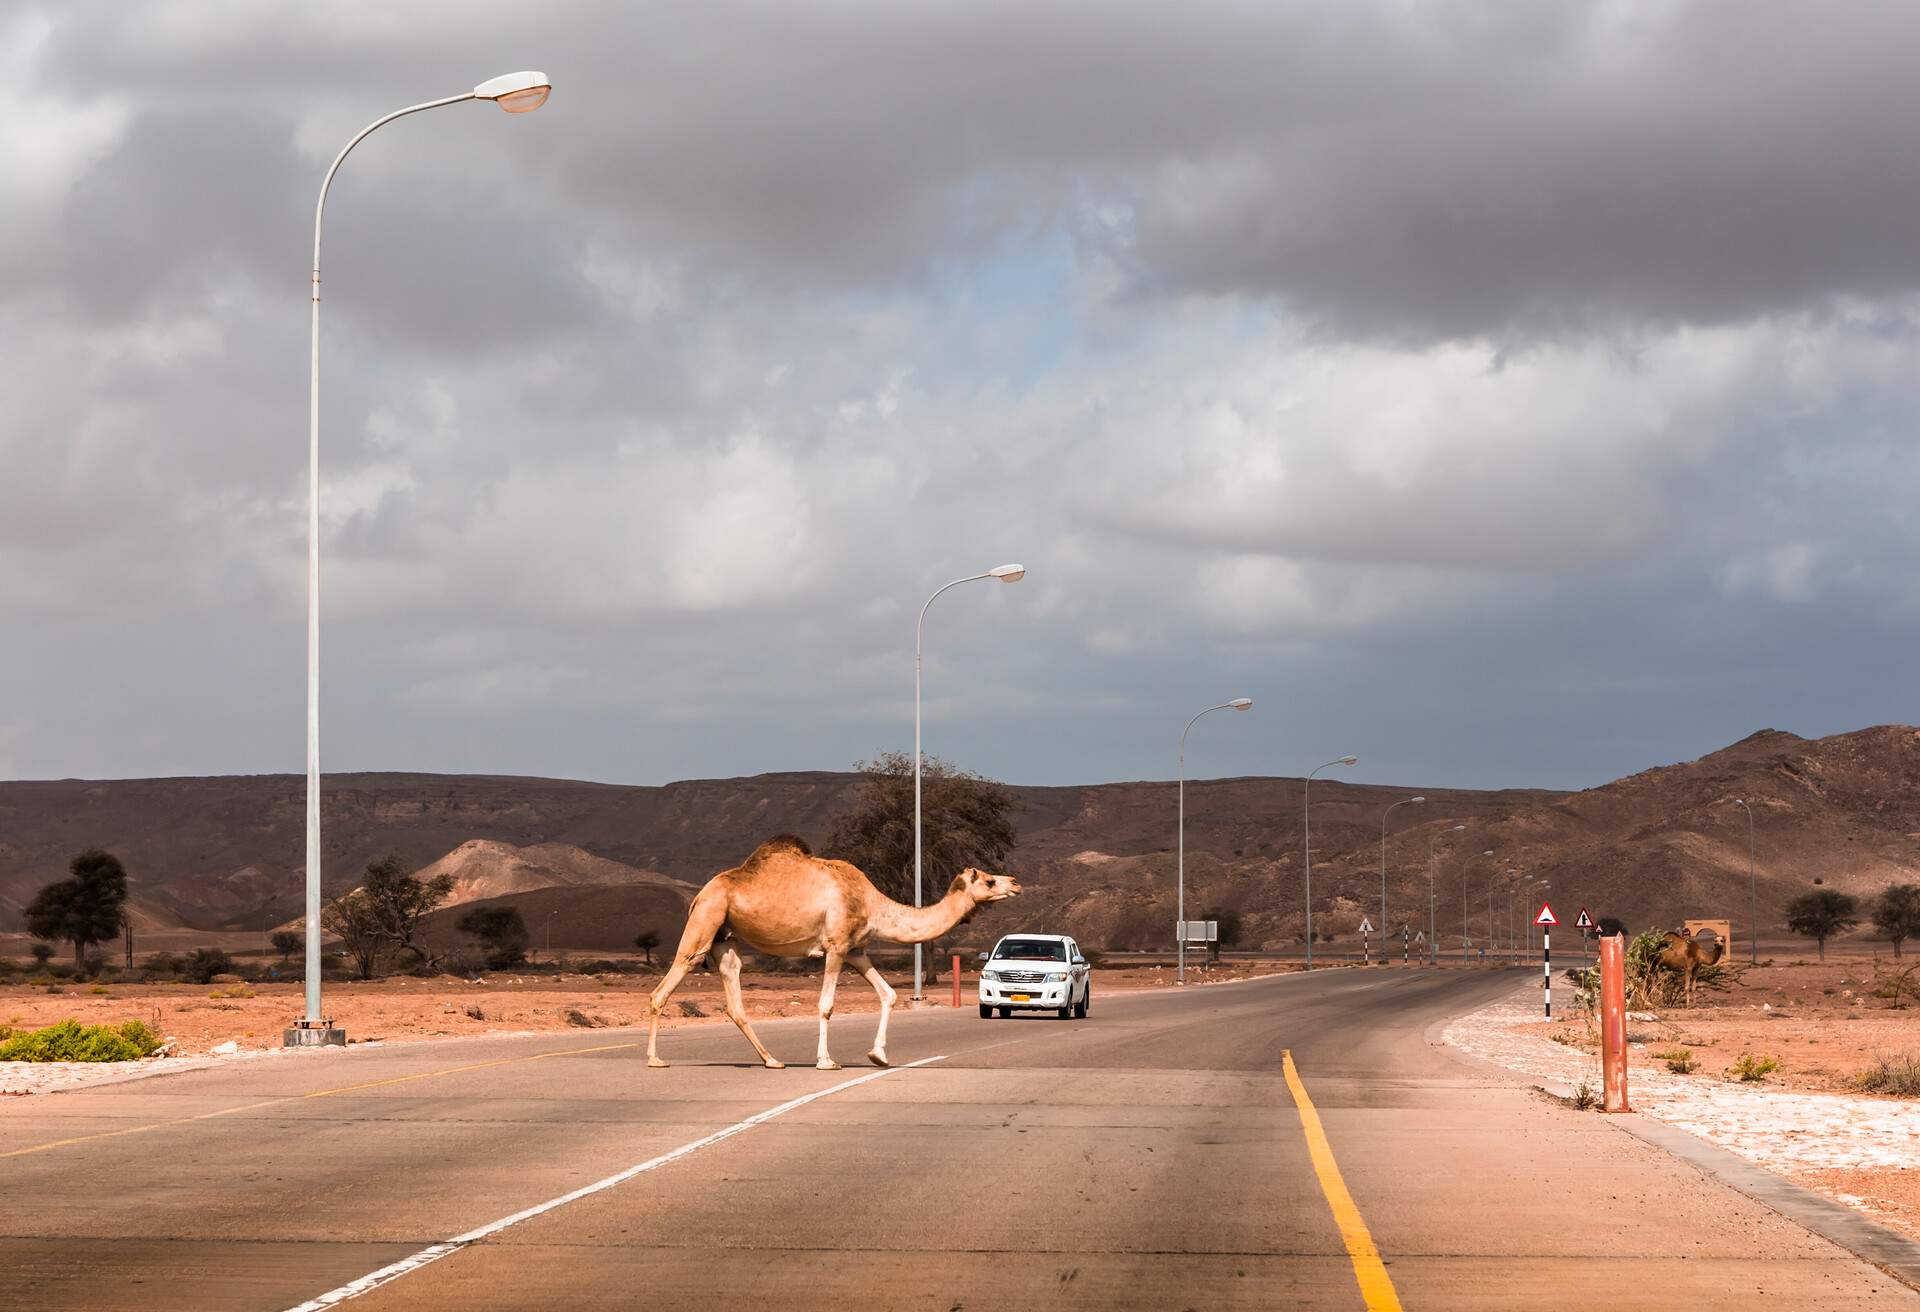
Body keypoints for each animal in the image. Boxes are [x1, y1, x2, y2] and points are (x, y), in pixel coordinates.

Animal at [645, 837, 1021, 1075]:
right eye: (989, 881)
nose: (1015, 883)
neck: (872, 904)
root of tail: (700, 894)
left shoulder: (856, 950)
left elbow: (888, 994)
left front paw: (878, 1055)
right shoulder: (836, 946)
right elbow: (826, 1005)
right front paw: (827, 1061)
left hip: (726, 938)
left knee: (734, 996)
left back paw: (772, 1060)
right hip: (706, 919)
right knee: (668, 983)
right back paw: (654, 1059)